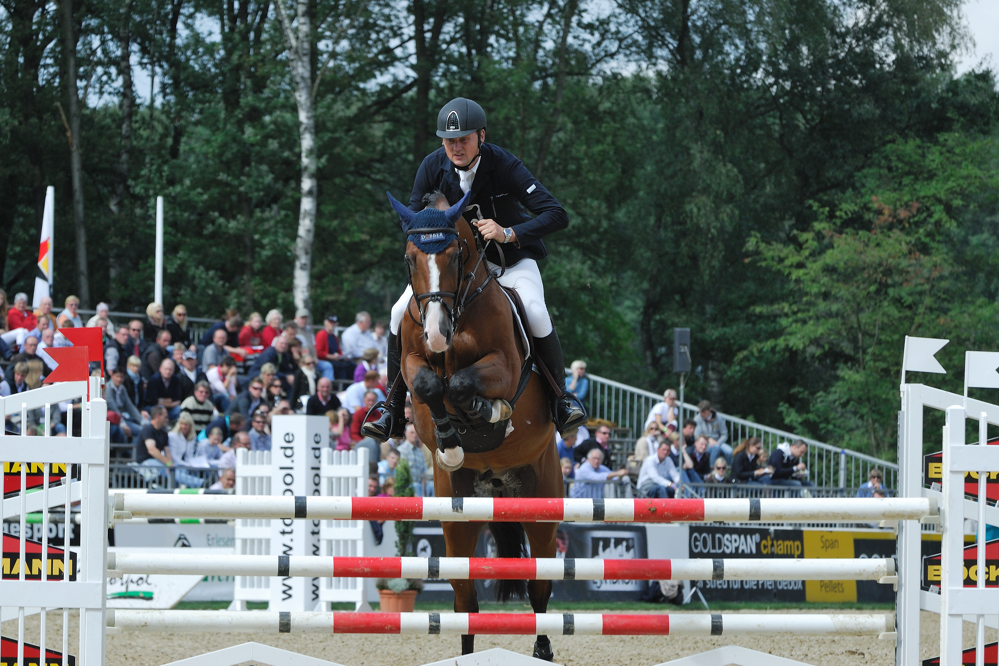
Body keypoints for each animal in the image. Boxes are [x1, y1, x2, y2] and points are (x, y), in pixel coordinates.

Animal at [386, 188, 568, 660]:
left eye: (455, 255)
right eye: (409, 257)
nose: (436, 334)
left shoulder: (504, 366)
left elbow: (464, 382)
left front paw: (490, 413)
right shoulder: (413, 363)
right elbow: (431, 384)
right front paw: (450, 439)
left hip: (543, 506)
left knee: (540, 588)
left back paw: (543, 650)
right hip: (457, 517)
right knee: (465, 598)